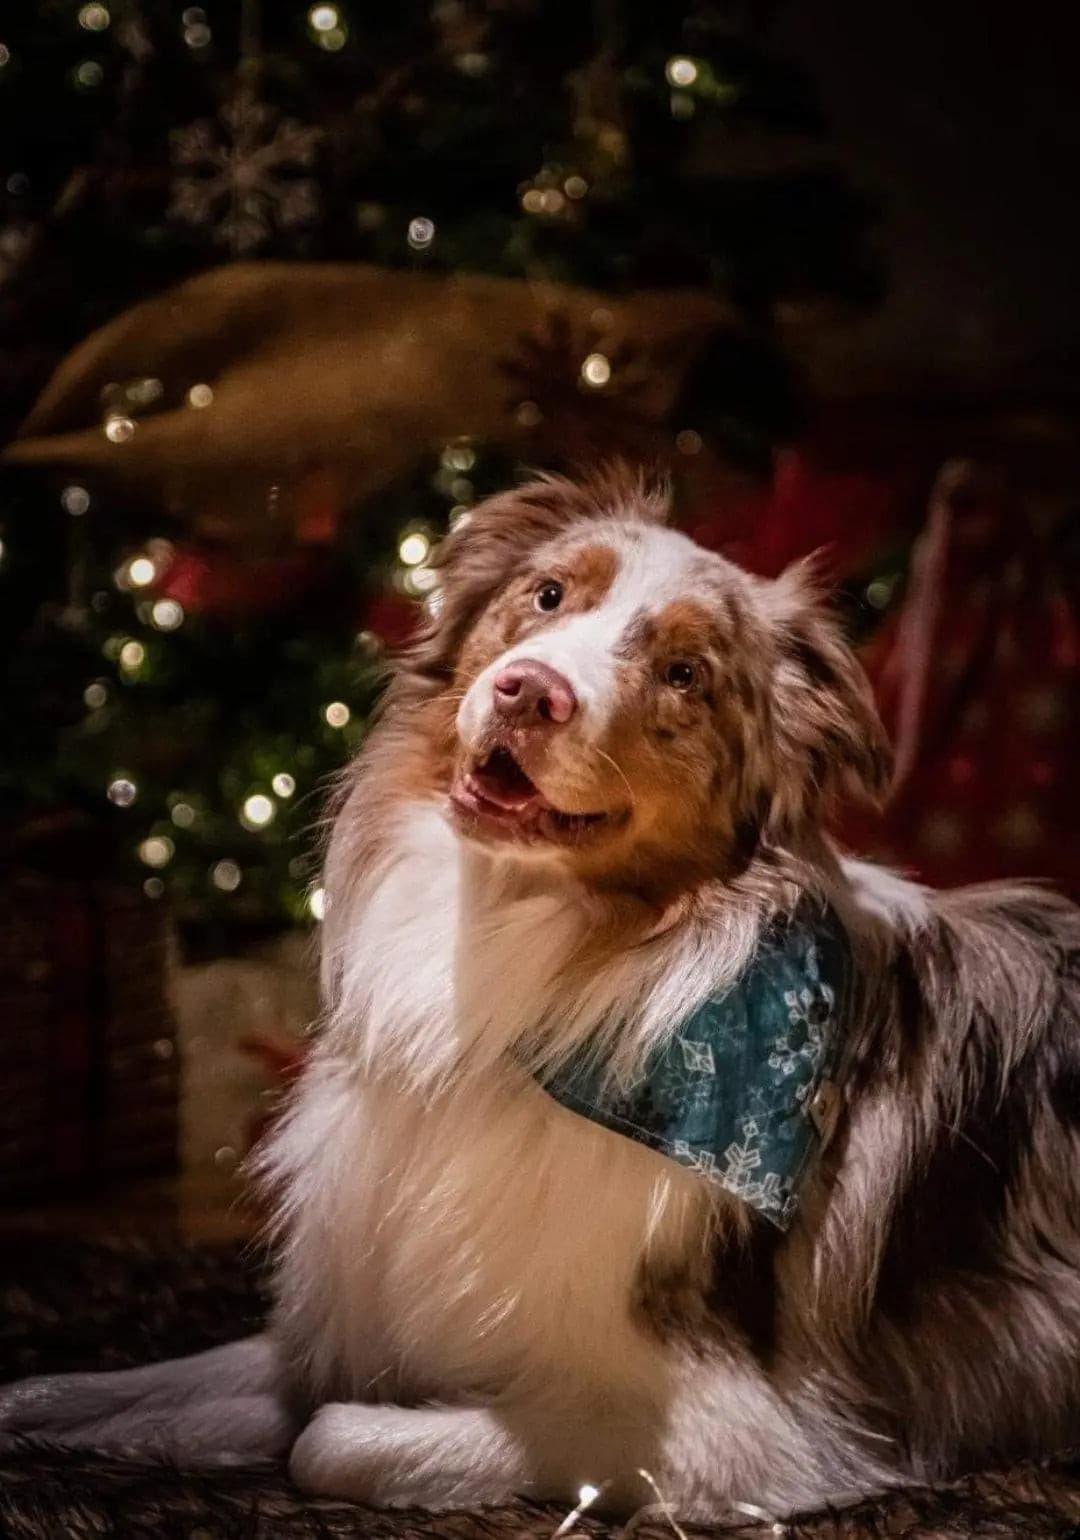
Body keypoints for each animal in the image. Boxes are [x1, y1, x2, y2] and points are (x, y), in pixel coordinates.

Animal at [2, 462, 1078, 1521]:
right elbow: (131, 1384)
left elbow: (327, 1439)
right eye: (550, 594)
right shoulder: (337, 1323)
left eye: (685, 674)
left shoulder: (731, 1432)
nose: (529, 692)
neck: (519, 950)